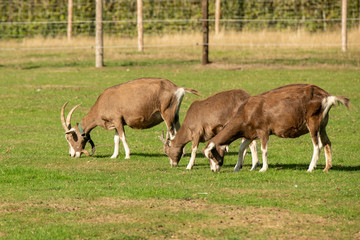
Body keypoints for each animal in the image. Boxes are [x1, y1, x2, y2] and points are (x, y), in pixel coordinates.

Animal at [60, 78, 198, 158]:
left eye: (69, 138)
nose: (72, 154)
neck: (103, 101)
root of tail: (177, 88)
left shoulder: (118, 121)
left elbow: (123, 137)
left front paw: (127, 155)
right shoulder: (116, 123)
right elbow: (116, 139)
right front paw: (114, 156)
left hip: (167, 115)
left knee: (172, 132)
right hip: (176, 116)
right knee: (178, 129)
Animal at [204, 84, 350, 172]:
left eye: (211, 155)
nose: (213, 170)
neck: (247, 112)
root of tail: (327, 96)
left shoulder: (263, 131)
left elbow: (263, 149)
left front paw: (263, 168)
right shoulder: (250, 133)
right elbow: (241, 149)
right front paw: (237, 168)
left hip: (313, 122)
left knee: (317, 145)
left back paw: (310, 168)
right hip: (323, 125)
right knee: (327, 143)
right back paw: (327, 168)